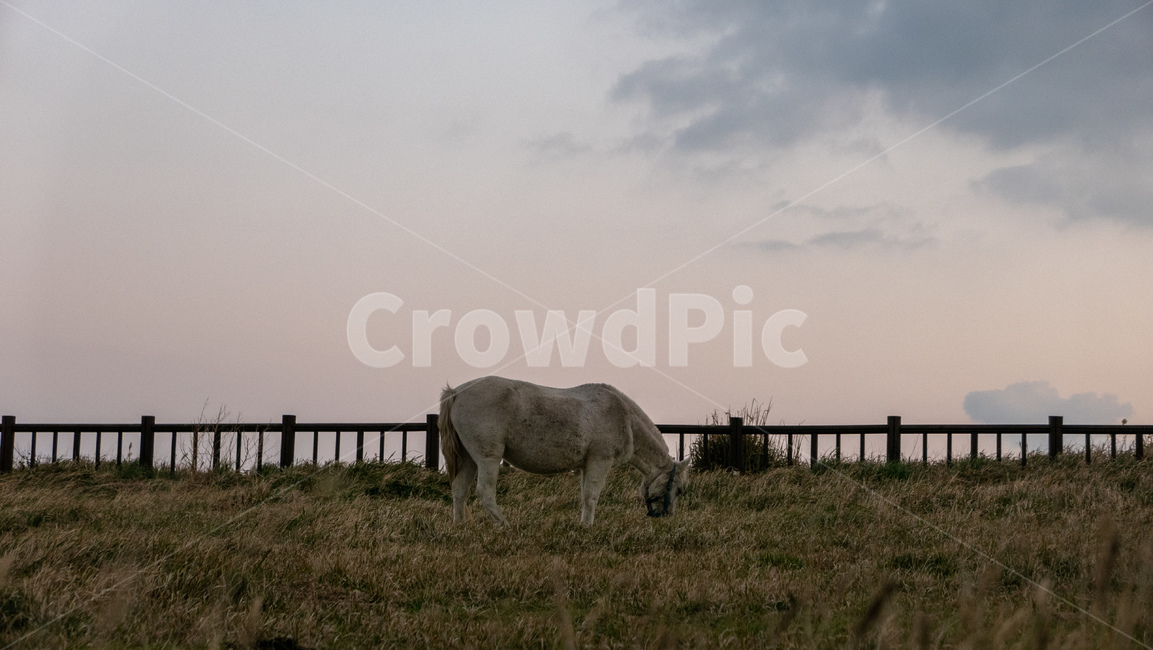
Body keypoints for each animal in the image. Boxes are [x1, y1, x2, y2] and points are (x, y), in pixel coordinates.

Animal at [438, 376, 690, 525]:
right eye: (678, 489)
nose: (665, 517)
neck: (624, 417)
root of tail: (457, 392)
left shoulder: (586, 465)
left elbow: (585, 496)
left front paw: (583, 525)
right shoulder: (600, 460)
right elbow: (592, 495)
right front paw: (588, 527)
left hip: (469, 459)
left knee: (459, 489)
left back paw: (460, 526)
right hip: (487, 459)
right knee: (485, 492)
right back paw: (504, 525)